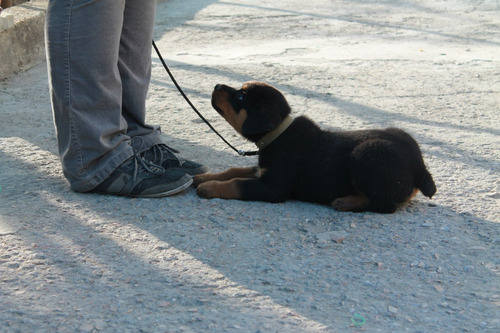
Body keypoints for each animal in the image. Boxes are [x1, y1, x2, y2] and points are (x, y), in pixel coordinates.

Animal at [193, 81, 436, 213]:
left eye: (241, 96)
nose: (217, 85)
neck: (278, 133)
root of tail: (420, 168)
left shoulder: (274, 186)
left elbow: (237, 183)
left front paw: (210, 187)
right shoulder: (263, 170)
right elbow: (234, 171)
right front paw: (205, 177)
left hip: (368, 152)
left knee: (384, 204)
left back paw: (346, 201)